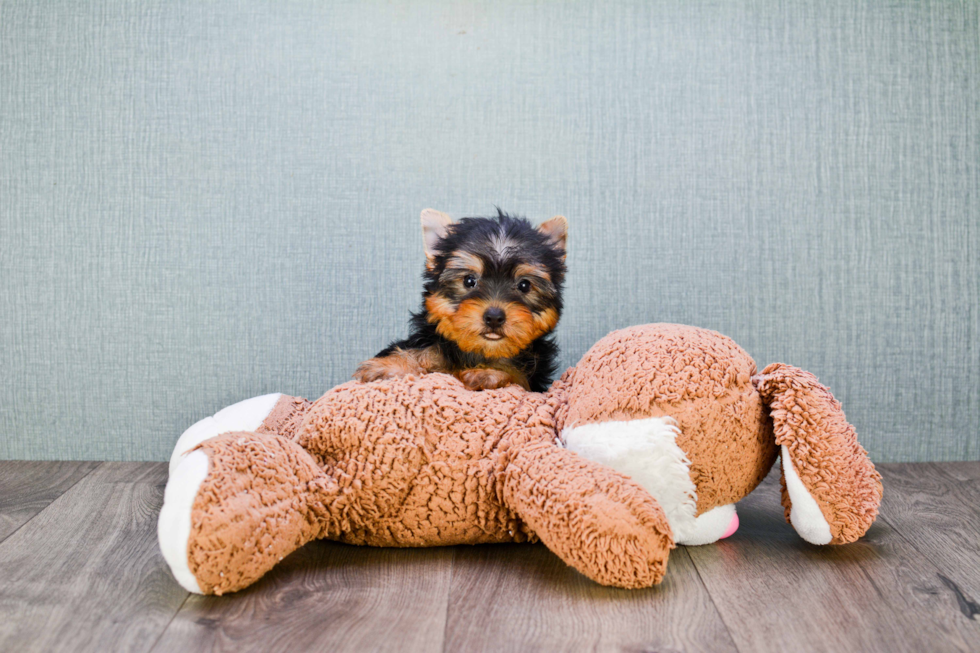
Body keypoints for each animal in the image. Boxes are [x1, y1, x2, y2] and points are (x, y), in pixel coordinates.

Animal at [352, 209, 568, 392]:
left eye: (524, 285)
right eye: (469, 280)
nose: (494, 317)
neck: (480, 350)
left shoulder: (533, 378)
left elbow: (517, 375)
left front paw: (489, 372)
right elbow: (429, 350)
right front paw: (391, 365)